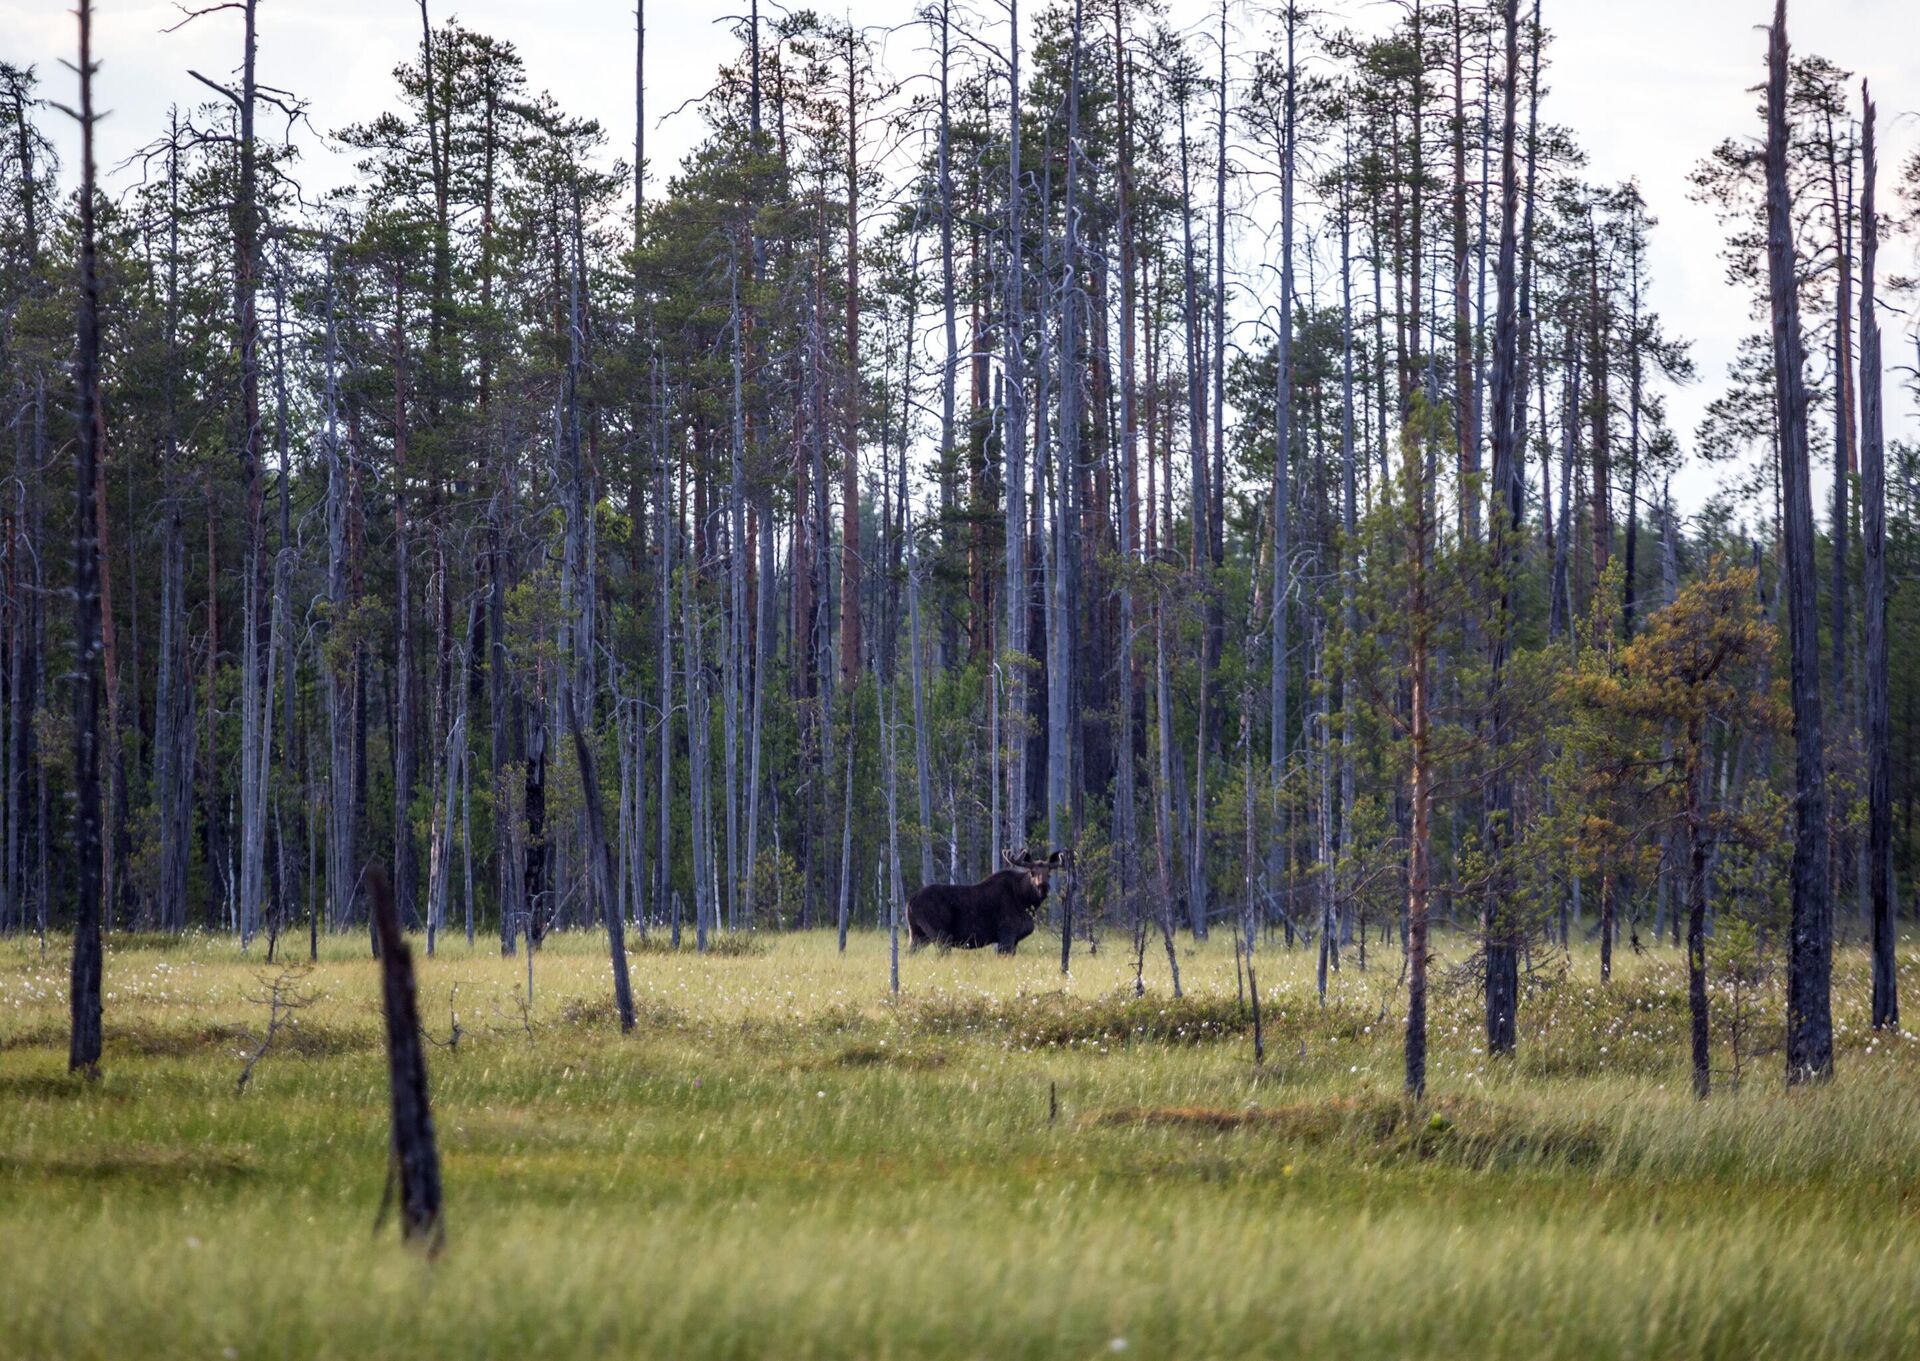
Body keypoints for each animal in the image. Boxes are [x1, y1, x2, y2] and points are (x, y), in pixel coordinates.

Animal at [910, 844, 1075, 952]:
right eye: (1032, 872)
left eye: (1049, 873)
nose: (1043, 886)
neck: (1025, 902)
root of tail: (910, 901)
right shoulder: (1006, 935)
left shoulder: (1013, 939)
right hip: (940, 935)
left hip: (917, 934)